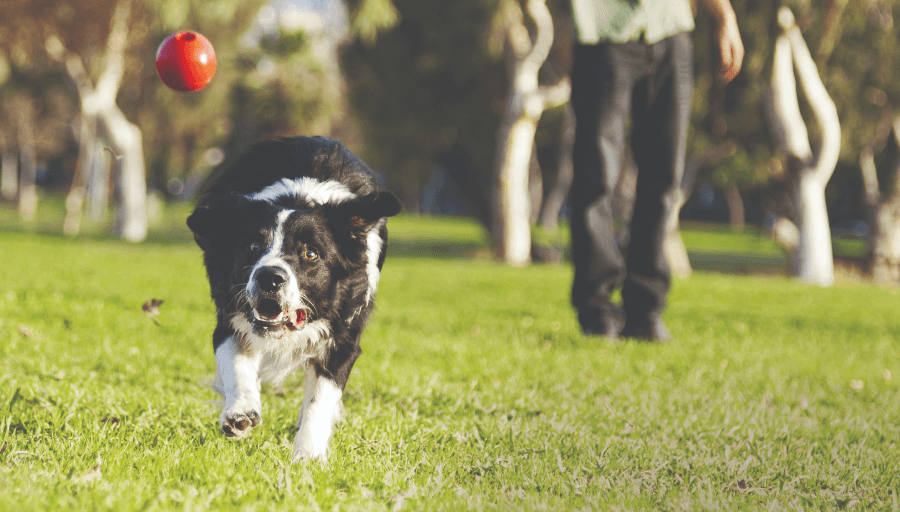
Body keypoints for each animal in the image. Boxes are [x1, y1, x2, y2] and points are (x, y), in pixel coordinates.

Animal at [187, 135, 400, 460]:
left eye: (311, 254)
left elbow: (320, 398)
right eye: (253, 246)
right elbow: (235, 364)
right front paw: (240, 412)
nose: (269, 277)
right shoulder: (230, 314)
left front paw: (307, 454)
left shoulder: (343, 334)